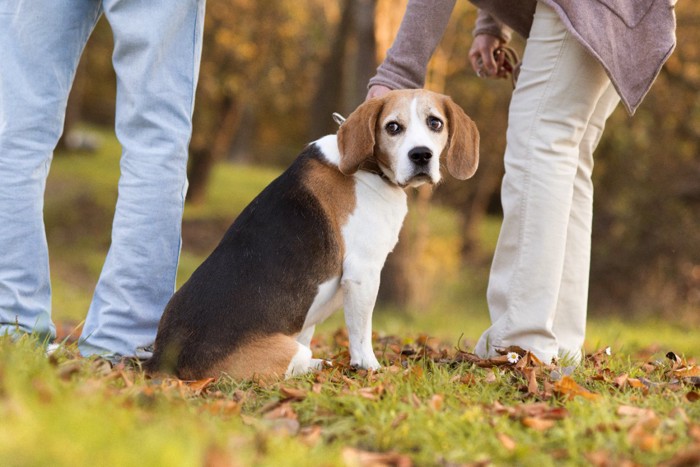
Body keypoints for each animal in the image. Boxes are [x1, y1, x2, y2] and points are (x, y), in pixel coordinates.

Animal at [144, 89, 478, 382]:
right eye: (392, 127)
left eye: (435, 122)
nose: (421, 155)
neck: (366, 166)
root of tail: (163, 360)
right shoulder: (364, 273)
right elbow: (361, 333)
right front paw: (369, 367)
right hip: (286, 350)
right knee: (299, 360)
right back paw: (322, 364)